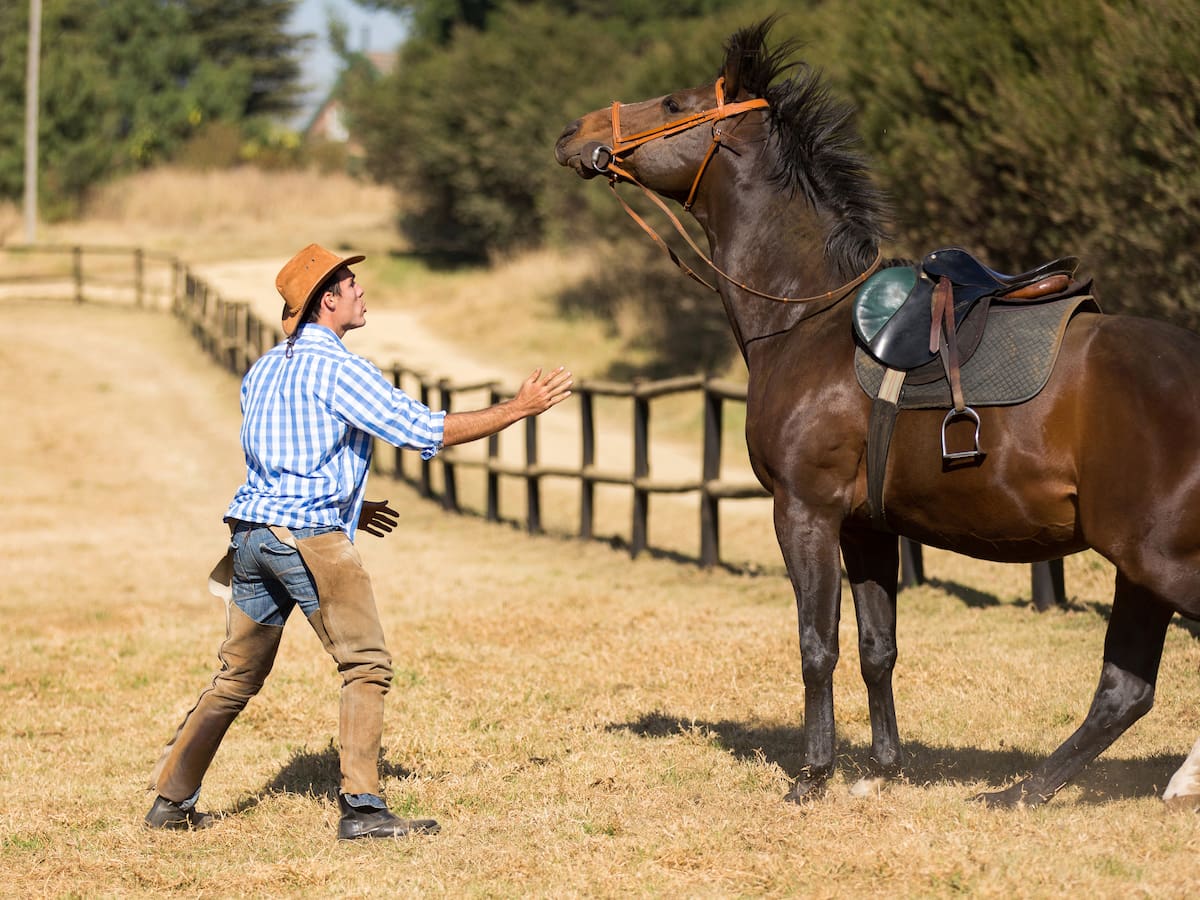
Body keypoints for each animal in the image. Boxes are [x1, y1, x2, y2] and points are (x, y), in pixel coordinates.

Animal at [555, 19, 1200, 809]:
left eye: (675, 101)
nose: (574, 132)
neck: (809, 319)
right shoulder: (867, 527)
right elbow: (876, 648)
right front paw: (883, 767)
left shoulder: (805, 511)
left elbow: (817, 645)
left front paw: (814, 773)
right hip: (1140, 569)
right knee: (1124, 691)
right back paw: (1028, 791)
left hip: (1154, 558)